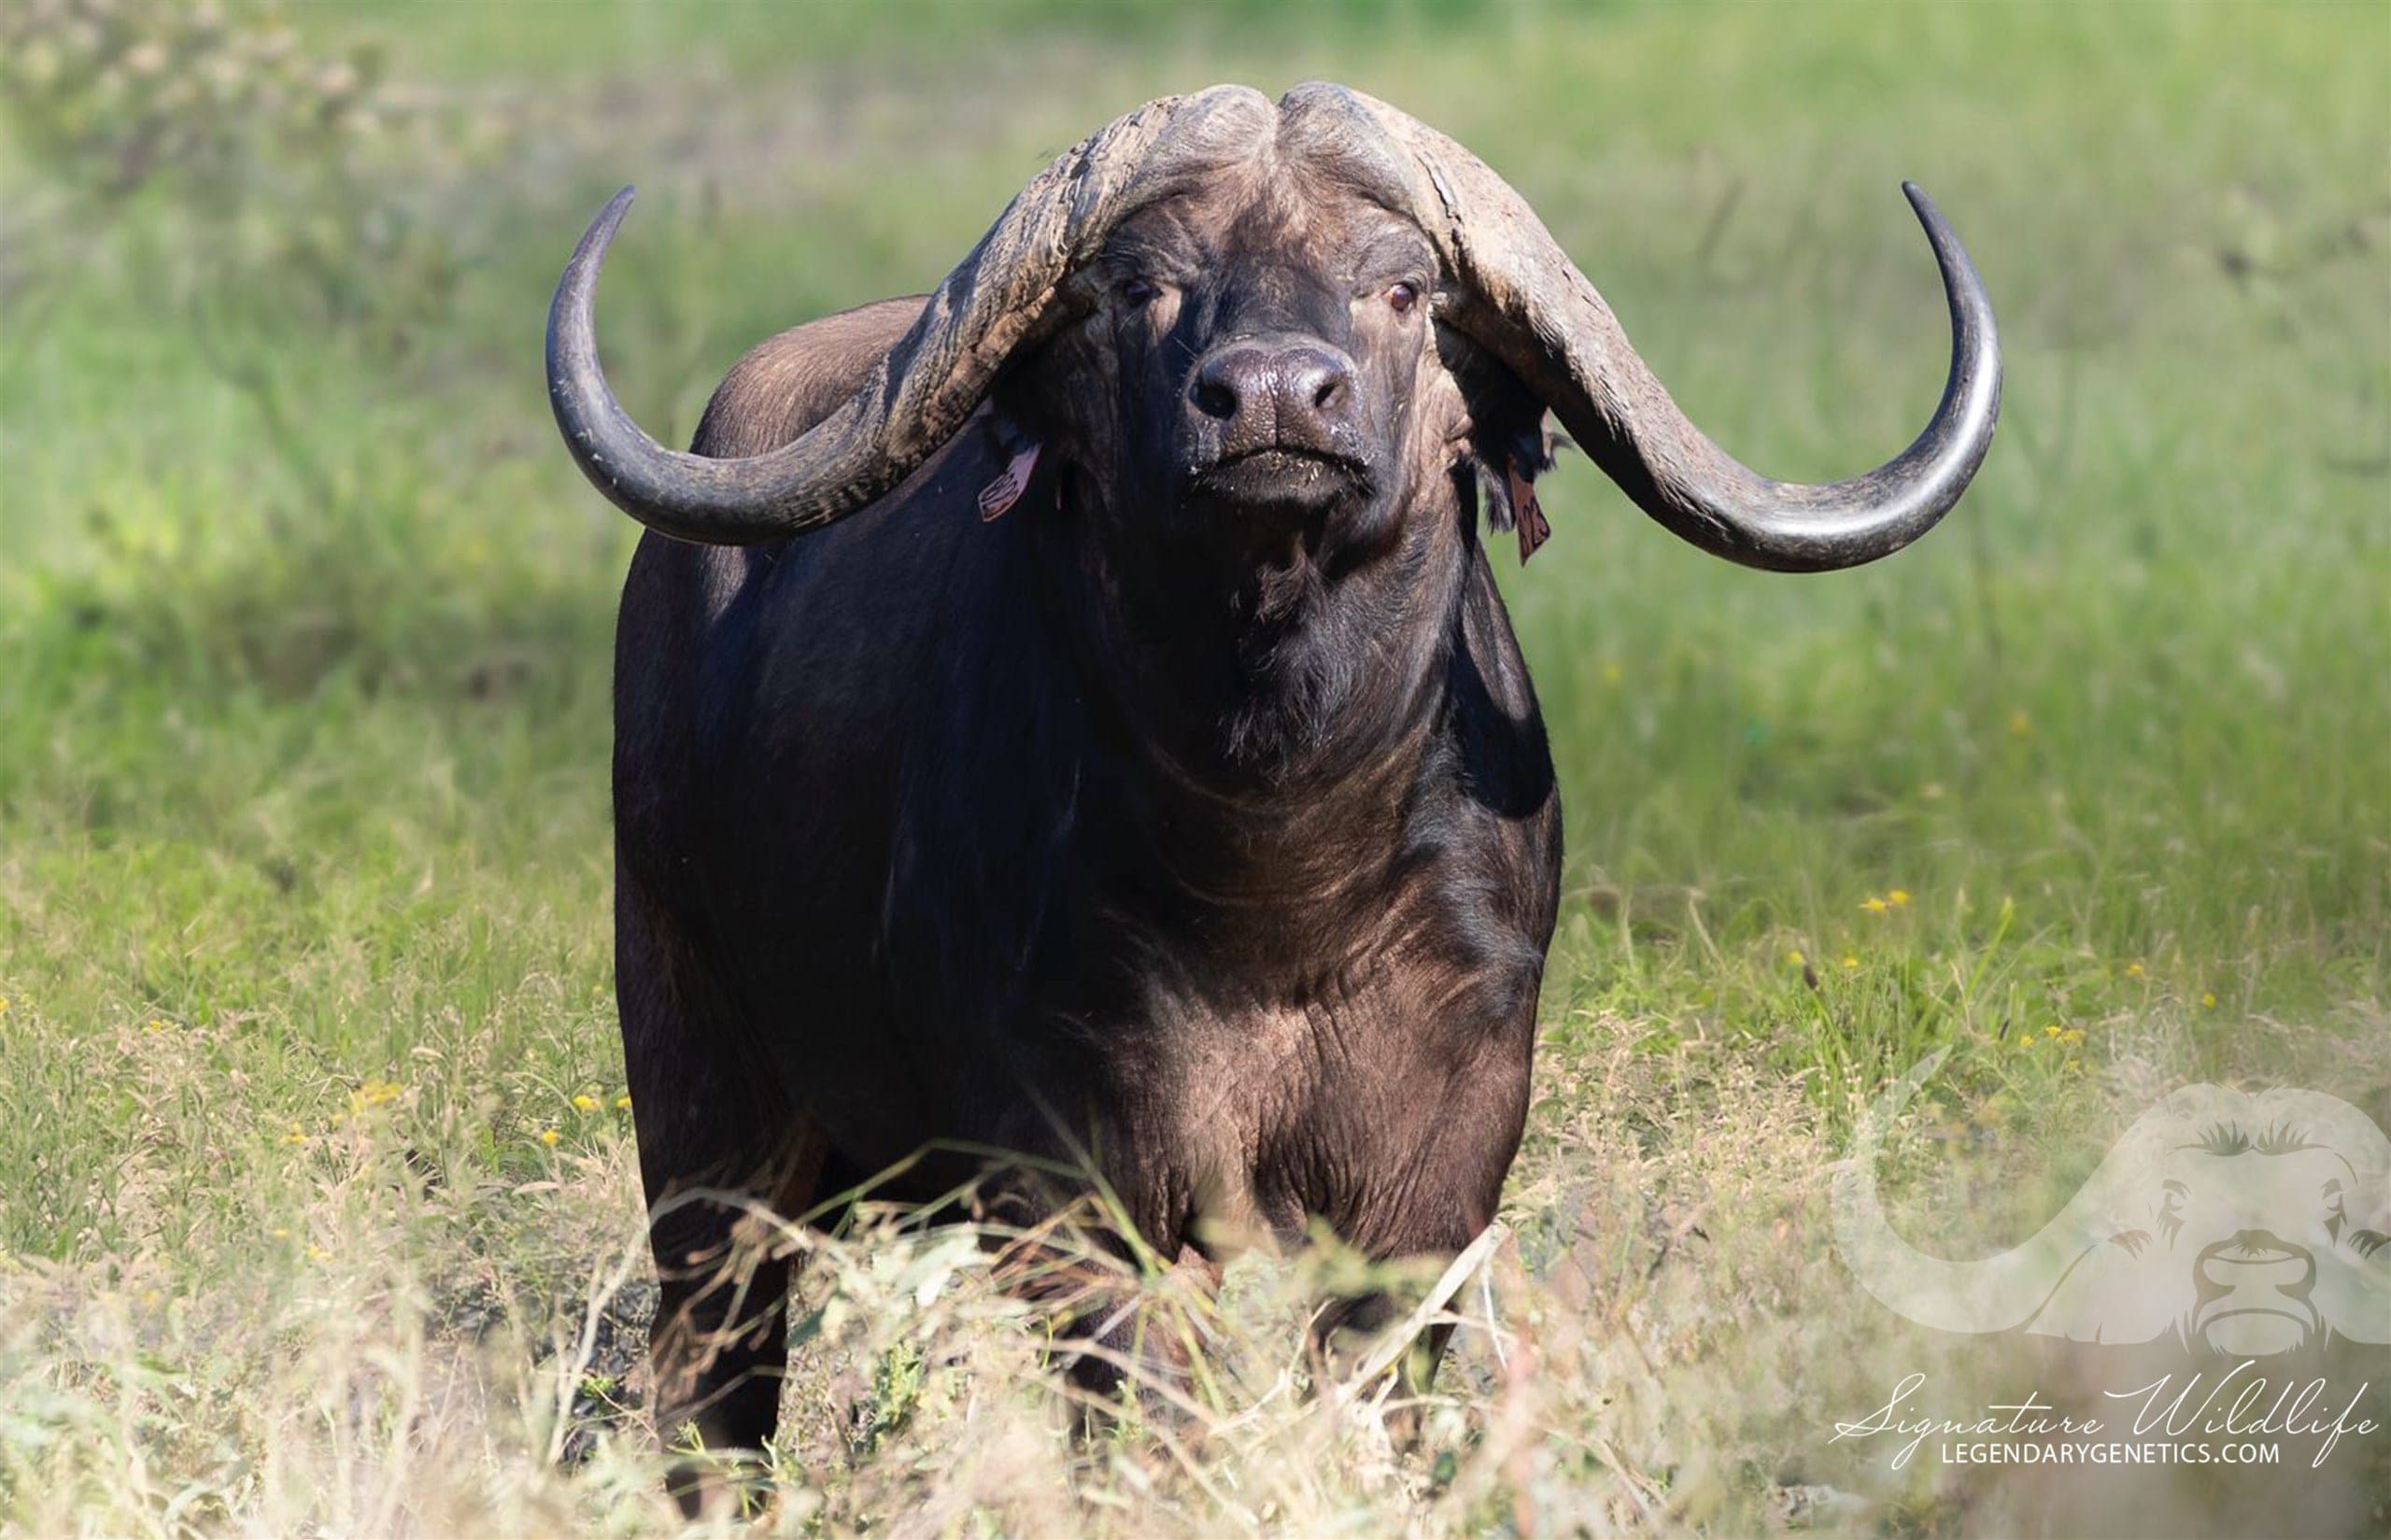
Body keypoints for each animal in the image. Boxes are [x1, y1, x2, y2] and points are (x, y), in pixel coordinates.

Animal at [545, 81, 2001, 1488]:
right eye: (1142, 284)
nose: (1273, 401)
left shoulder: (1446, 1146)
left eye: (1403, 287)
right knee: (719, 1374)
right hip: (693, 1075)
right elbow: (1143, 1400)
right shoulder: (1068, 1159)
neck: (1275, 871)